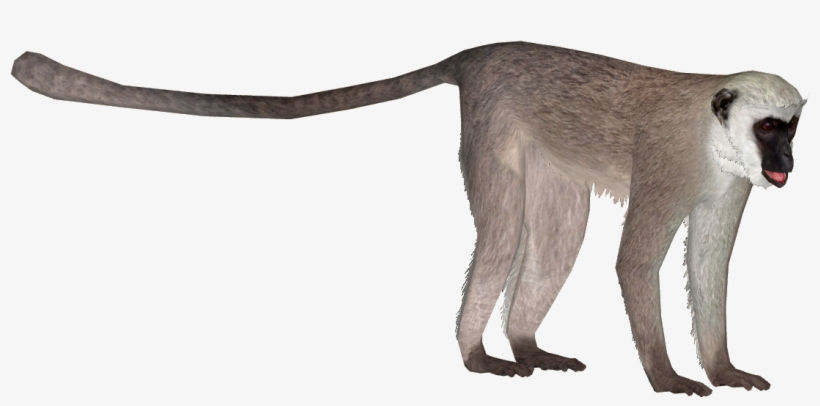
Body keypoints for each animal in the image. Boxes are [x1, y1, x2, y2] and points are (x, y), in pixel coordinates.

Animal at [11, 42, 806, 396]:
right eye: (770, 128)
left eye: (790, 127)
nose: (788, 161)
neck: (712, 133)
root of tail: (483, 53)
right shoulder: (671, 160)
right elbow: (636, 261)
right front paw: (667, 376)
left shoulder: (726, 183)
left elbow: (708, 265)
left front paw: (723, 367)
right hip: (493, 123)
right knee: (505, 235)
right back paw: (479, 353)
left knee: (553, 234)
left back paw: (525, 344)